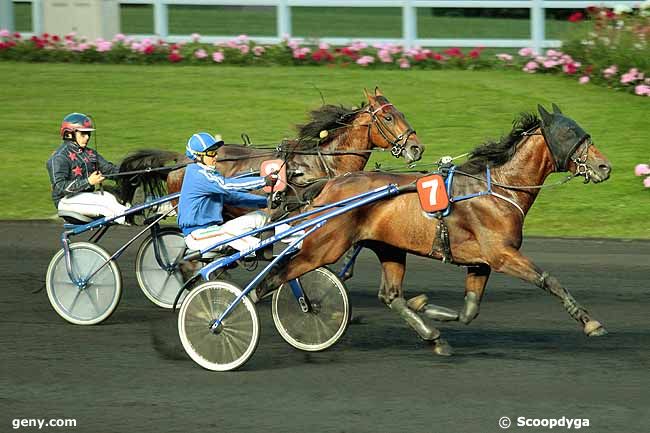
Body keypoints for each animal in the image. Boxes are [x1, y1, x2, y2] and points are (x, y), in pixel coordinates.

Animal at [256, 104, 612, 354]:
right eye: (570, 135)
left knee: (391, 296)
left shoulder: (480, 262)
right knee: (275, 276)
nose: (604, 166)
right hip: (324, 245)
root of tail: (329, 185)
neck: (497, 189)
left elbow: (469, 310)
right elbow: (548, 280)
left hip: (389, 247)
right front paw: (590, 322)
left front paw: (426, 307)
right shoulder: (501, 254)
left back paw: (432, 336)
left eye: (584, 133)